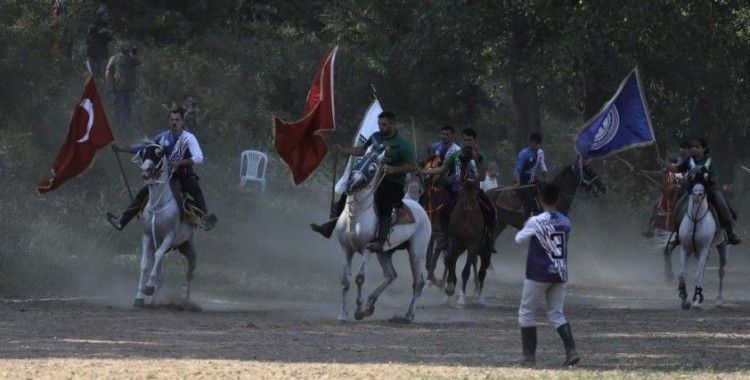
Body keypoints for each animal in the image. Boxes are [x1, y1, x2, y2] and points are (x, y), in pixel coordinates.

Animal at [134, 142, 197, 306]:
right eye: (142, 153)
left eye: (159, 153)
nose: (145, 171)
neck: (158, 206)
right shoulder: (147, 236)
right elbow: (144, 264)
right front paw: (139, 297)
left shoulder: (169, 236)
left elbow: (157, 257)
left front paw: (149, 288)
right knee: (161, 273)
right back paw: (154, 301)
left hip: (189, 244)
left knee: (190, 271)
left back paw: (187, 302)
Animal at [334, 147, 432, 322]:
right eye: (359, 161)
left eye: (372, 169)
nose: (351, 184)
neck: (355, 216)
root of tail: (420, 208)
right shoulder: (346, 250)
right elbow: (345, 281)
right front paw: (342, 313)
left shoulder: (366, 249)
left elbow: (360, 278)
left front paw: (358, 310)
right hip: (384, 252)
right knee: (390, 275)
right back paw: (370, 305)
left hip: (417, 251)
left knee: (418, 281)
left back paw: (409, 315)